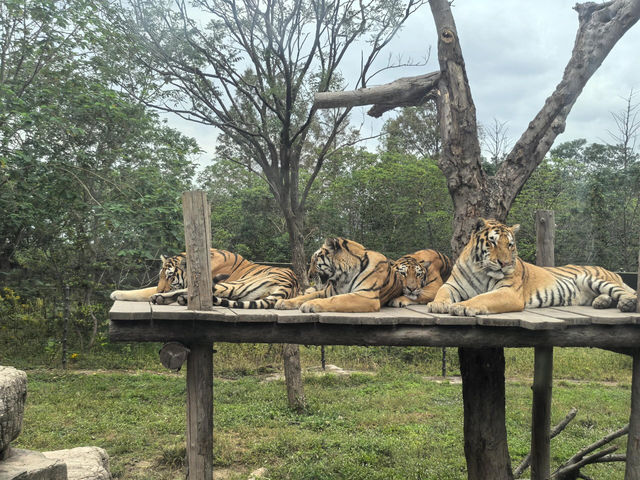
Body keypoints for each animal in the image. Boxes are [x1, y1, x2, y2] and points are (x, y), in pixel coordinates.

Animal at [110, 249, 300, 310]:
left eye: (170, 276)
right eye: (161, 276)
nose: (161, 290)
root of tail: (290, 284)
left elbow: (146, 290)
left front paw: (116, 293)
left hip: (234, 284)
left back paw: (161, 298)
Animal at [272, 237, 402, 314]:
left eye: (315, 260)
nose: (309, 275)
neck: (343, 277)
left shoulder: (366, 295)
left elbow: (335, 300)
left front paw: (310, 304)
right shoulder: (326, 292)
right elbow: (304, 297)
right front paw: (283, 302)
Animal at [428, 217, 636, 316]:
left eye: (510, 245)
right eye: (493, 242)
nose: (504, 263)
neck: (481, 269)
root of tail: (613, 272)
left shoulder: (508, 292)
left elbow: (482, 298)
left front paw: (462, 306)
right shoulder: (452, 285)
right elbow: (442, 292)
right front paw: (438, 305)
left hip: (594, 279)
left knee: (627, 293)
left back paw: (627, 303)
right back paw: (601, 302)